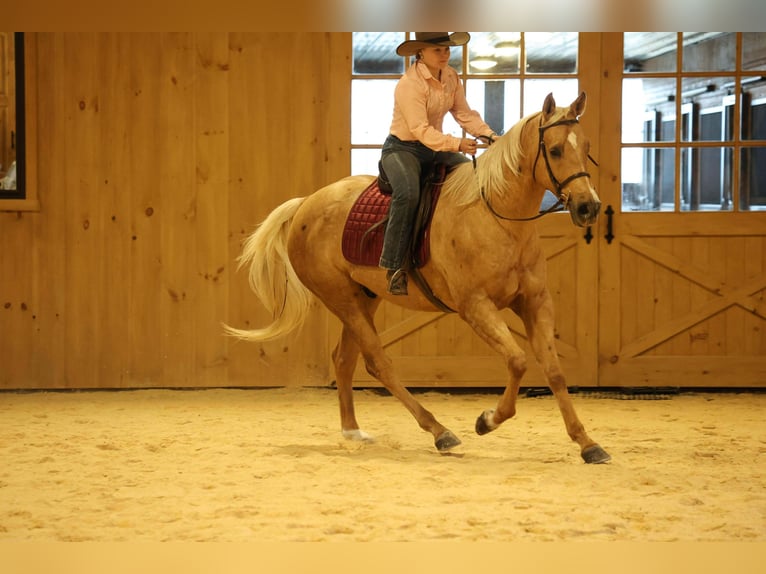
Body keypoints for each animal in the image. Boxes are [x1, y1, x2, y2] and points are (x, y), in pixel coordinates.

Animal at [226, 92, 611, 464]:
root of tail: (306, 204)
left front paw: (587, 444)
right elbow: (517, 361)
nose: (588, 207)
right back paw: (440, 432)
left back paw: (353, 431)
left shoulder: (535, 302)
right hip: (341, 299)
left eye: (586, 146)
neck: (495, 216)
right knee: (378, 363)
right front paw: (487, 421)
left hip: (363, 299)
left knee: (344, 360)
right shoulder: (476, 307)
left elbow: (555, 371)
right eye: (555, 149)